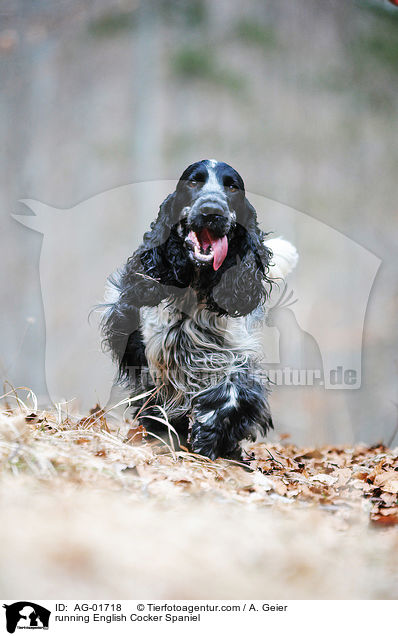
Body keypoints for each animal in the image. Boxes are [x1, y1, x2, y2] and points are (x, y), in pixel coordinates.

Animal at [101, 159, 296, 458]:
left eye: (232, 187)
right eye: (193, 182)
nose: (211, 211)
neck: (196, 285)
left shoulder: (232, 352)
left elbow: (233, 393)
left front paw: (212, 438)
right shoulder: (157, 355)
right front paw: (167, 438)